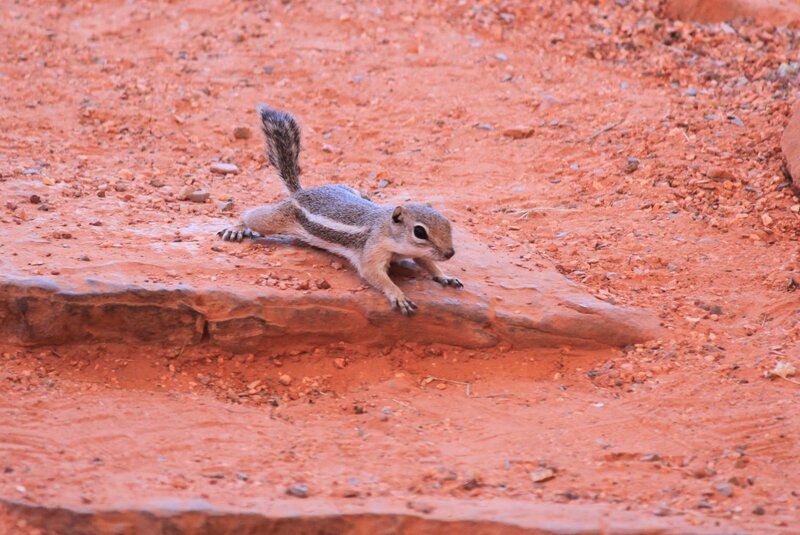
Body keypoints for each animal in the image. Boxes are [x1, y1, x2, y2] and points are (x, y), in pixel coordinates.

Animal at [218, 104, 463, 315]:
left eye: (448, 224)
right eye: (420, 232)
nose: (450, 253)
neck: (388, 231)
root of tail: (301, 191)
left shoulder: (415, 252)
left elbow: (427, 262)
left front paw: (444, 276)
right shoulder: (373, 251)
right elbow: (374, 274)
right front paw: (398, 294)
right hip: (276, 219)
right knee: (254, 216)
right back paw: (236, 228)